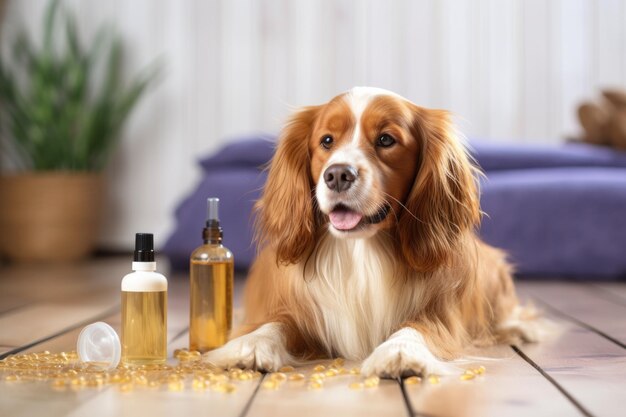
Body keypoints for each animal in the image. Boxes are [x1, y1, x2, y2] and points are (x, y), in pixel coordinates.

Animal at [205, 86, 536, 376]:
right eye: (327, 140)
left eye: (386, 140)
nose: (338, 174)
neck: (360, 250)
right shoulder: (298, 314)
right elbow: (275, 324)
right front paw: (251, 345)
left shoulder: (442, 315)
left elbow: (419, 327)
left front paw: (400, 351)